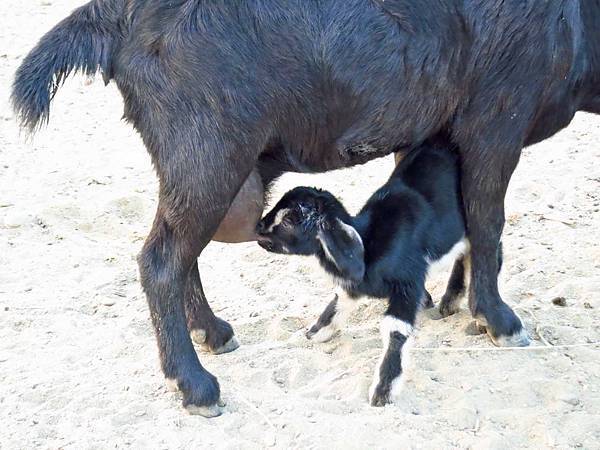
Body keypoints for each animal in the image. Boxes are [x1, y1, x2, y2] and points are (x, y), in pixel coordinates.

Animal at [255, 146, 504, 406]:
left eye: (290, 220)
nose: (259, 227)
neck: (369, 240)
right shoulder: (352, 286)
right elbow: (335, 306)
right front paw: (311, 335)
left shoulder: (409, 283)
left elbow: (396, 329)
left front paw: (382, 392)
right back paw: (451, 303)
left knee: (489, 249)